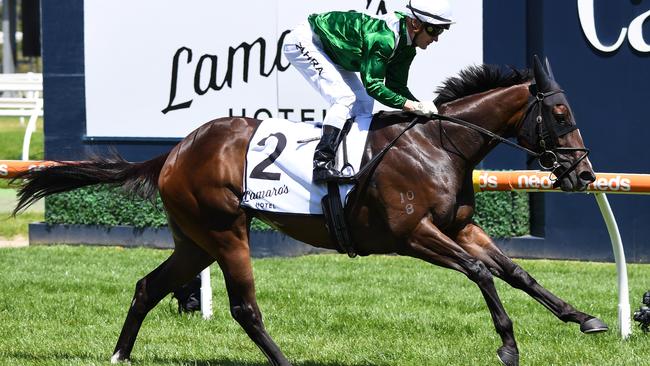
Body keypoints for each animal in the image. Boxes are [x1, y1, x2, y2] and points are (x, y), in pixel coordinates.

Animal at [13, 57, 604, 366]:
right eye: (558, 112)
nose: (585, 176)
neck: (440, 144)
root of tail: (175, 150)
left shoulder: (460, 225)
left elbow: (516, 271)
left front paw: (583, 318)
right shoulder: (412, 234)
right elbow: (482, 272)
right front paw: (507, 344)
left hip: (195, 240)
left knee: (147, 287)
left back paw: (119, 355)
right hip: (225, 231)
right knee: (244, 308)